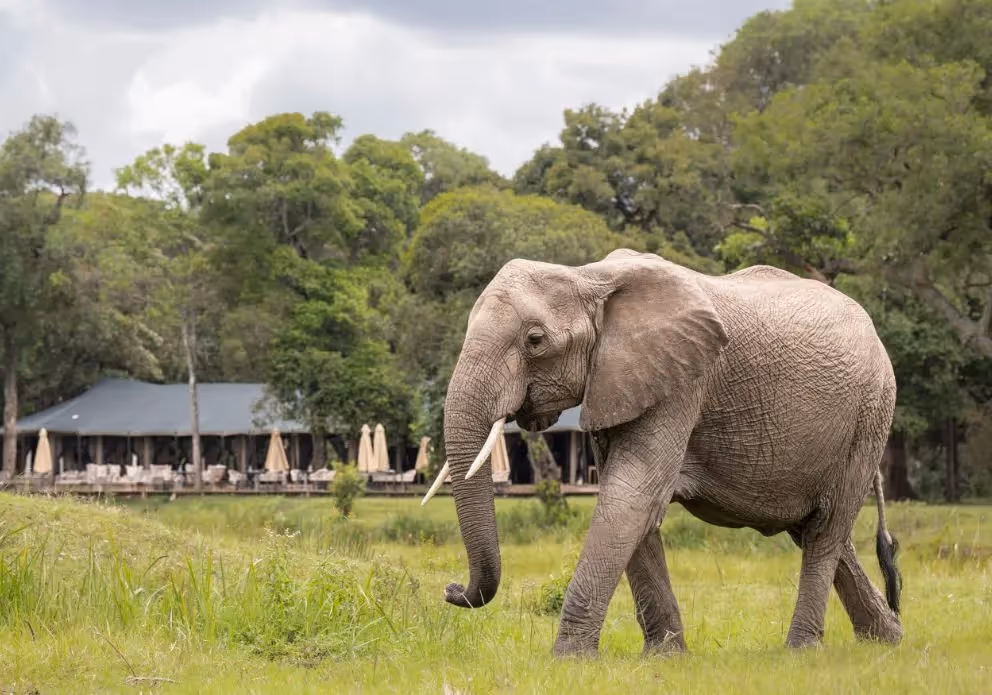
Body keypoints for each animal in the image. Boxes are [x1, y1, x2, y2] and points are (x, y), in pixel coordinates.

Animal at [421, 248, 903, 657]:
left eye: (535, 340)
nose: (450, 589)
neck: (587, 277)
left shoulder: (684, 381)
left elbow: (631, 495)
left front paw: (569, 660)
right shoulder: (621, 382)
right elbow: (630, 503)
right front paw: (666, 657)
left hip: (870, 414)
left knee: (825, 530)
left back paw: (802, 651)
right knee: (818, 531)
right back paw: (887, 640)